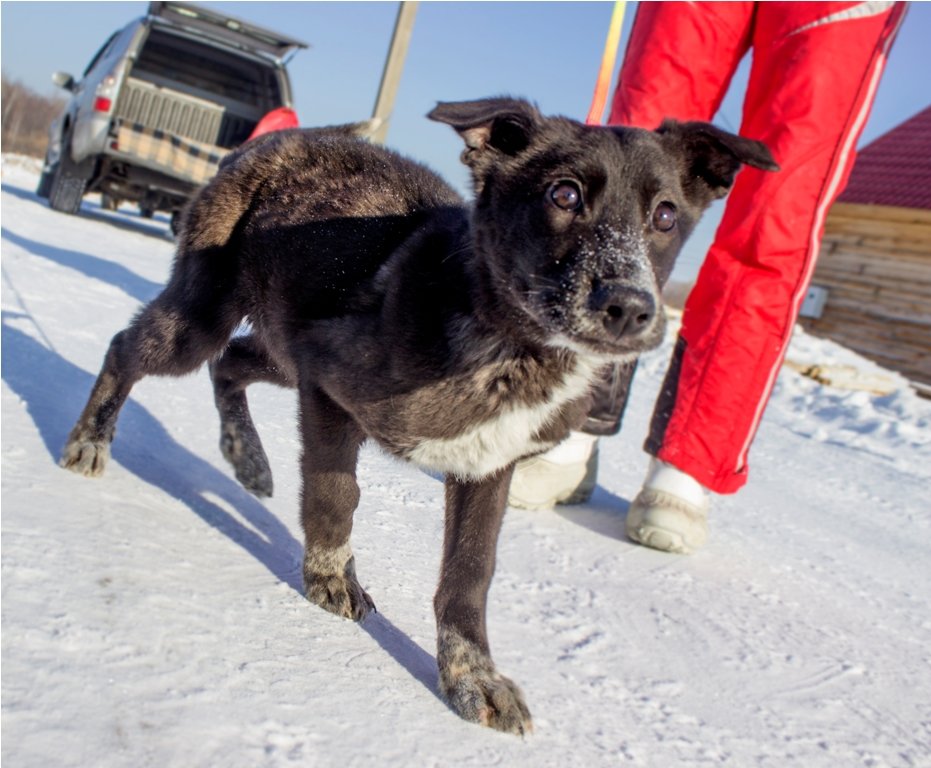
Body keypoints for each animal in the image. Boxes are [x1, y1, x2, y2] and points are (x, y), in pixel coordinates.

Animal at [60, 99, 780, 736]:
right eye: (564, 195)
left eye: (665, 214)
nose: (630, 307)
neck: (508, 341)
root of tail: (279, 140)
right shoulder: (329, 389)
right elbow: (335, 494)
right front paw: (330, 578)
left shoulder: (489, 464)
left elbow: (469, 574)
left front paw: (471, 677)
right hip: (207, 316)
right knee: (132, 348)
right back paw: (91, 441)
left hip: (283, 346)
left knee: (232, 362)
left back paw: (247, 456)